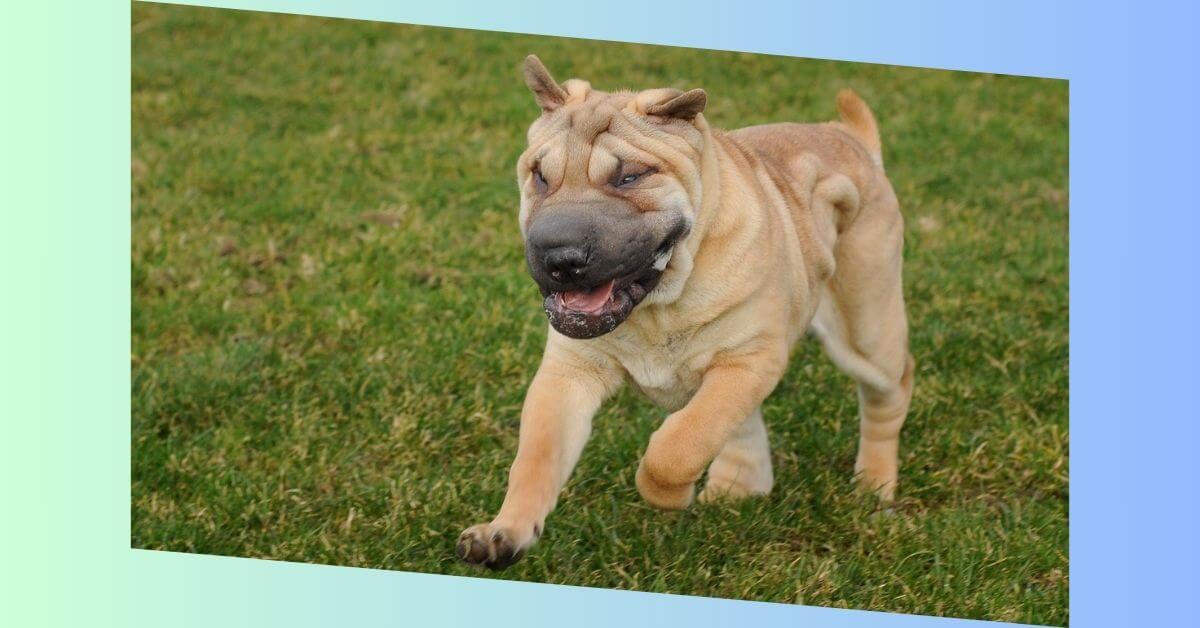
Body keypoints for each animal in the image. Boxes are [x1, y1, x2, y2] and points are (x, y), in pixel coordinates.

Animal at [453, 57, 912, 569]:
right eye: (540, 176)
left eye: (630, 177)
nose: (560, 257)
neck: (661, 305)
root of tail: (849, 137)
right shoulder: (569, 373)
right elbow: (537, 457)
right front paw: (504, 532)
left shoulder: (748, 361)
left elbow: (679, 445)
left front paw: (668, 496)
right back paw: (737, 488)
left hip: (866, 327)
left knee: (890, 393)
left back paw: (874, 484)